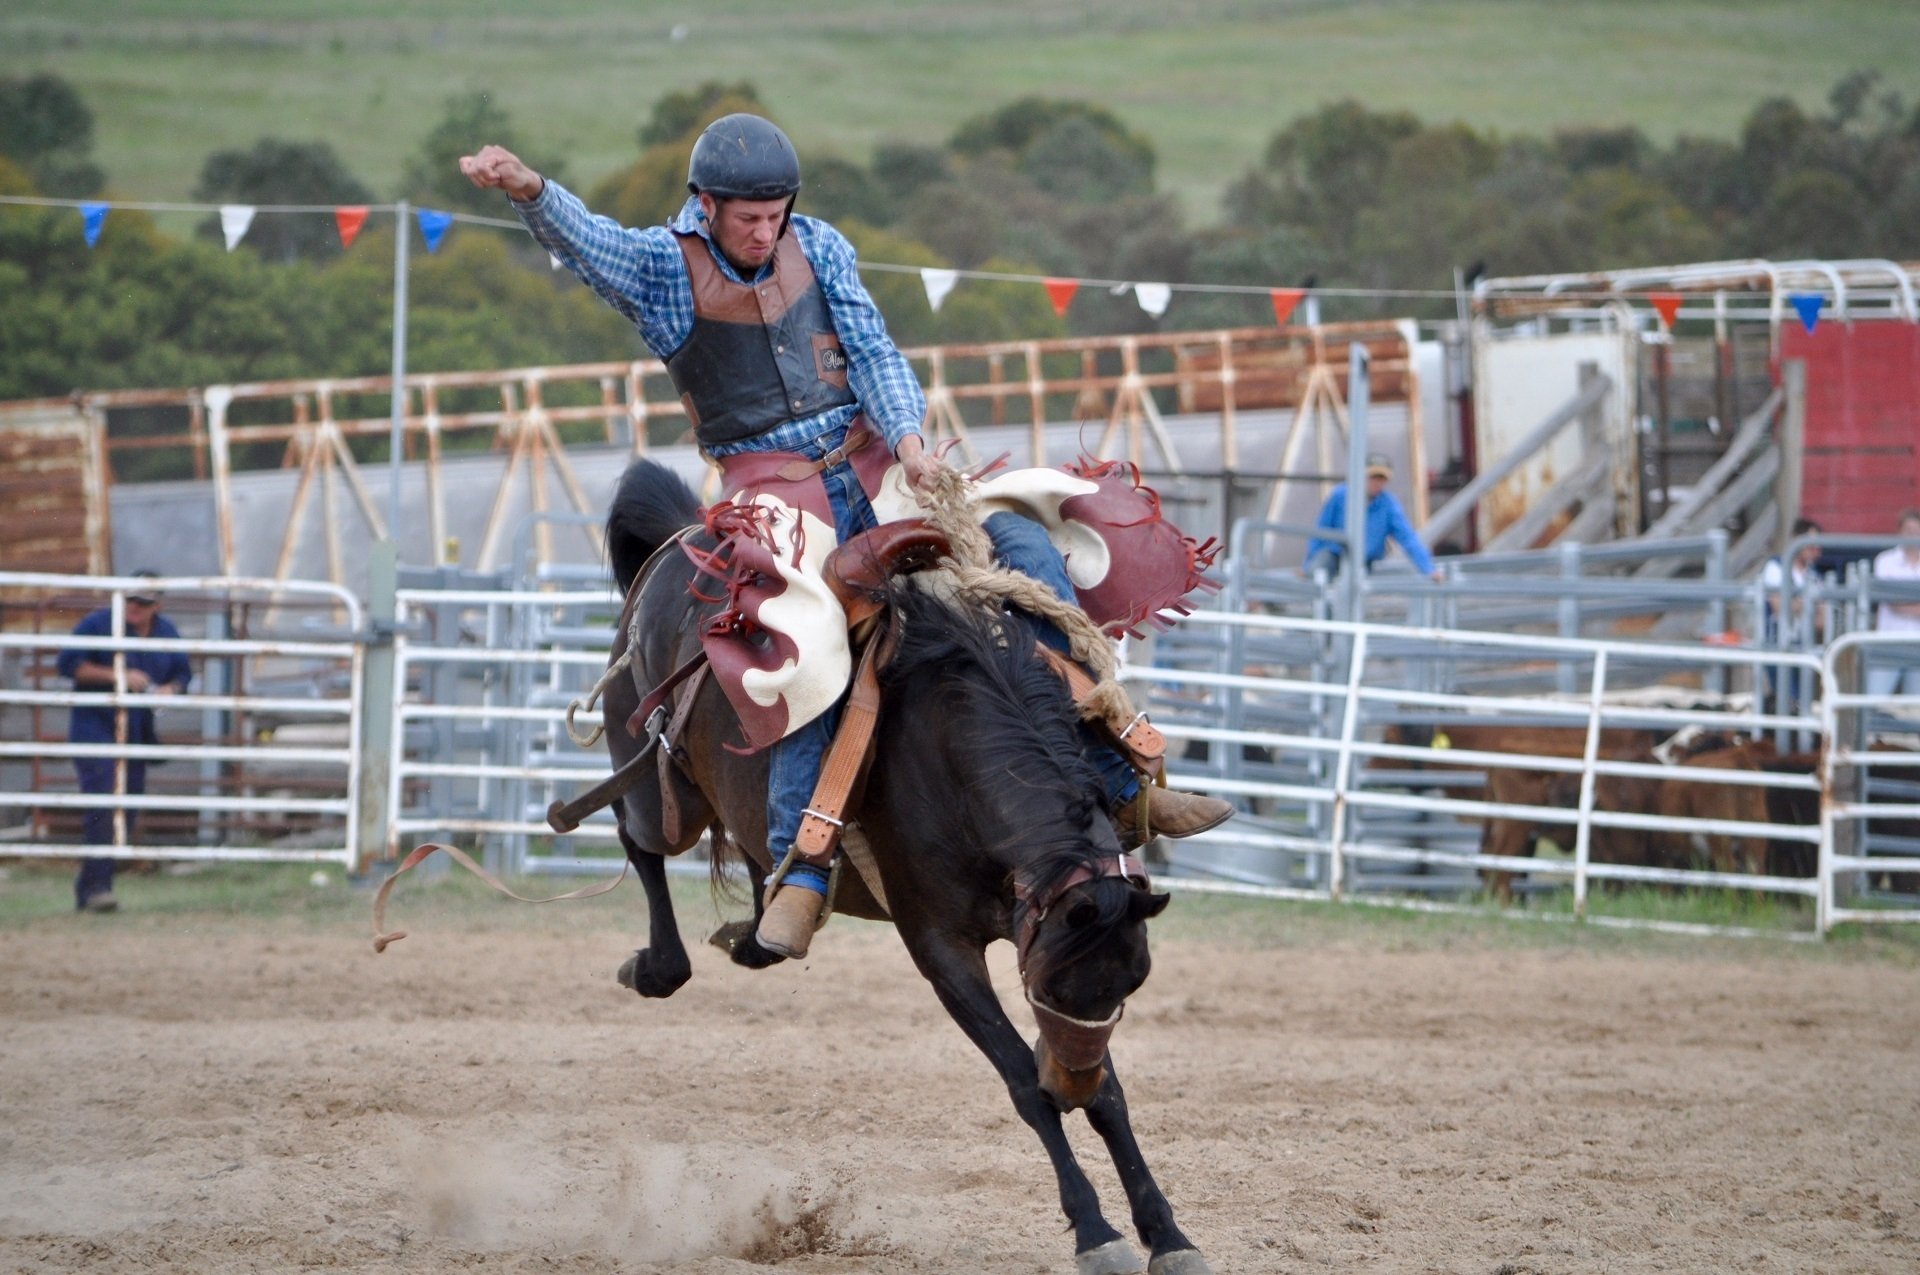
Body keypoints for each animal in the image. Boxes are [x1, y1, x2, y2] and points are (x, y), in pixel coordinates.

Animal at [594, 458, 1213, 1275]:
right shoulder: (939, 946)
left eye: (1133, 981)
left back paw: (764, 928)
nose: (1071, 1083)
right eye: (1051, 985)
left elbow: (1110, 1091)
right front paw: (1095, 1231)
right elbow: (1024, 1081)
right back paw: (656, 964)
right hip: (657, 779)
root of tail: (682, 540)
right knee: (640, 840)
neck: (953, 748)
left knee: (761, 866)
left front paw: (1167, 1233)